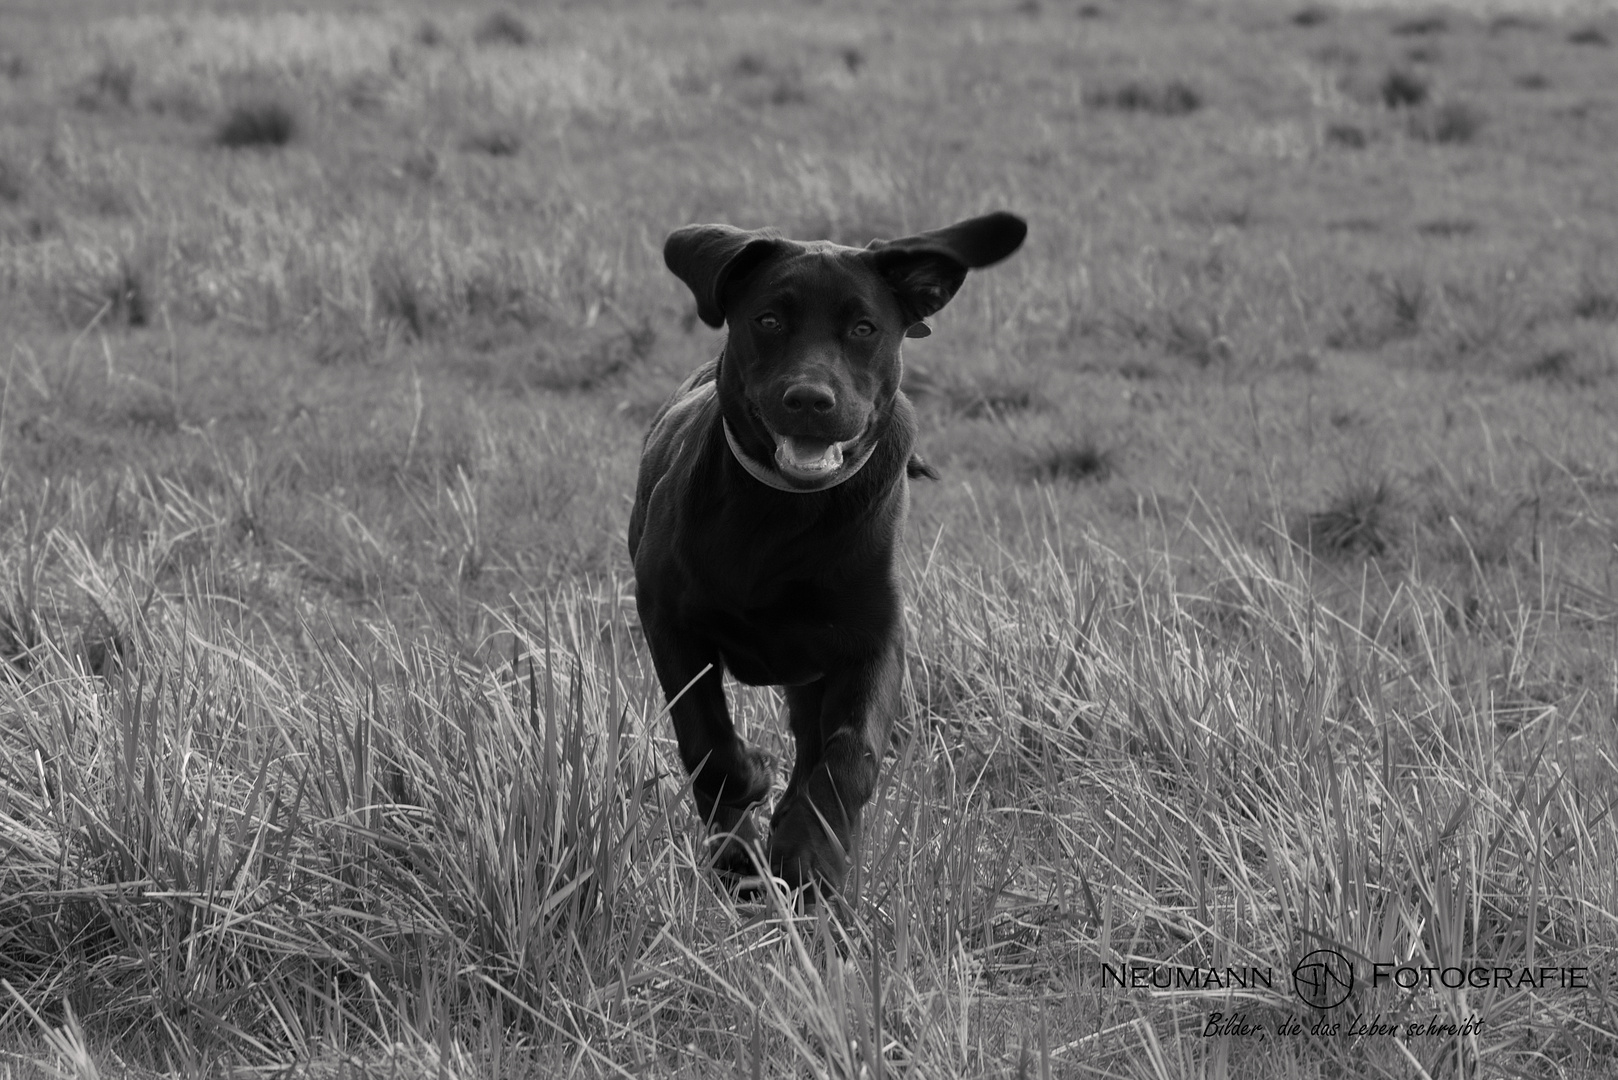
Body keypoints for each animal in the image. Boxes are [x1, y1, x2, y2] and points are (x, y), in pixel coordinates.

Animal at [627, 210, 1022, 893]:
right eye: (768, 320)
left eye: (864, 328)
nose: (810, 399)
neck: (786, 514)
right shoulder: (667, 616)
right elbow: (706, 740)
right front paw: (748, 802)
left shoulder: (872, 640)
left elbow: (848, 755)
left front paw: (808, 852)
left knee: (817, 746)